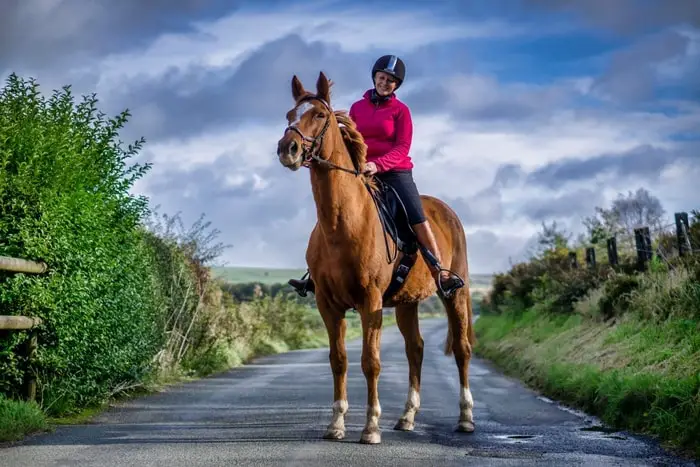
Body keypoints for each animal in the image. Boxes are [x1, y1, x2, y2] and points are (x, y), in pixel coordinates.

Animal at [274, 70, 476, 446]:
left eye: (319, 115)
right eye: (289, 115)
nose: (287, 149)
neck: (343, 223)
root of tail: (445, 210)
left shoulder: (370, 302)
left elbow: (371, 362)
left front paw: (370, 428)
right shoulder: (328, 304)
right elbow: (338, 360)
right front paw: (337, 424)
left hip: (454, 294)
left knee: (462, 349)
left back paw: (466, 418)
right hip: (407, 303)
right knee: (416, 348)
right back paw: (407, 417)